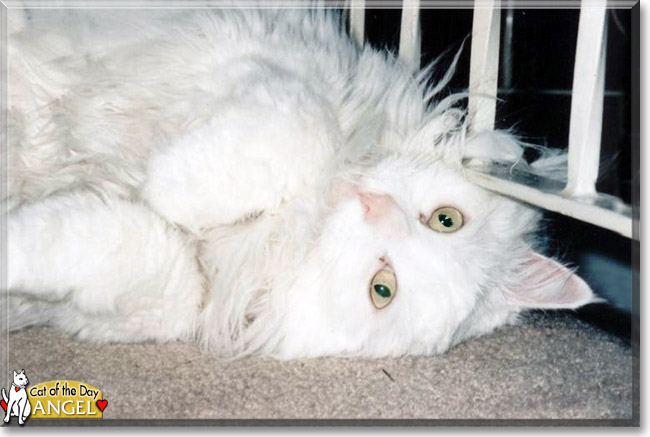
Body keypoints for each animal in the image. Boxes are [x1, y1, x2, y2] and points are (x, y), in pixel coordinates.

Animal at [5, 6, 596, 358]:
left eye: (383, 289)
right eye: (447, 219)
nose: (375, 206)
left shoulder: (161, 288)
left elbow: (91, 243)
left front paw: (159, 192)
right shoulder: (256, 53)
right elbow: (305, 130)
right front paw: (169, 184)